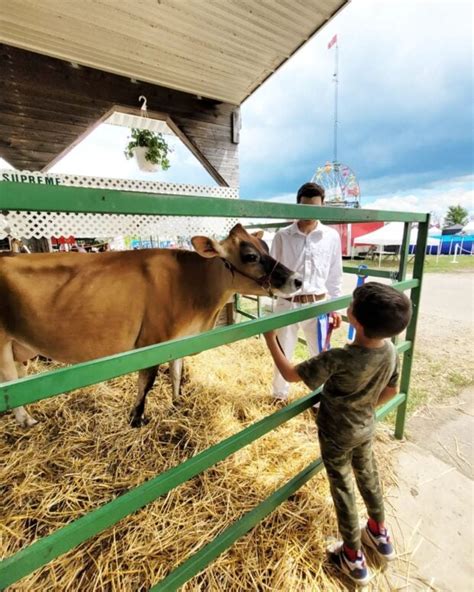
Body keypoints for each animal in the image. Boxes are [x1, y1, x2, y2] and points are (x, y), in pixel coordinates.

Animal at [0, 224, 302, 428]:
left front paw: (178, 403)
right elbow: (147, 382)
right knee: (10, 381)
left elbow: (177, 373)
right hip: (2, 344)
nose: (297, 279)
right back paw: (26, 420)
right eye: (251, 256)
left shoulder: (179, 340)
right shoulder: (151, 342)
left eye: (266, 248)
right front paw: (136, 419)